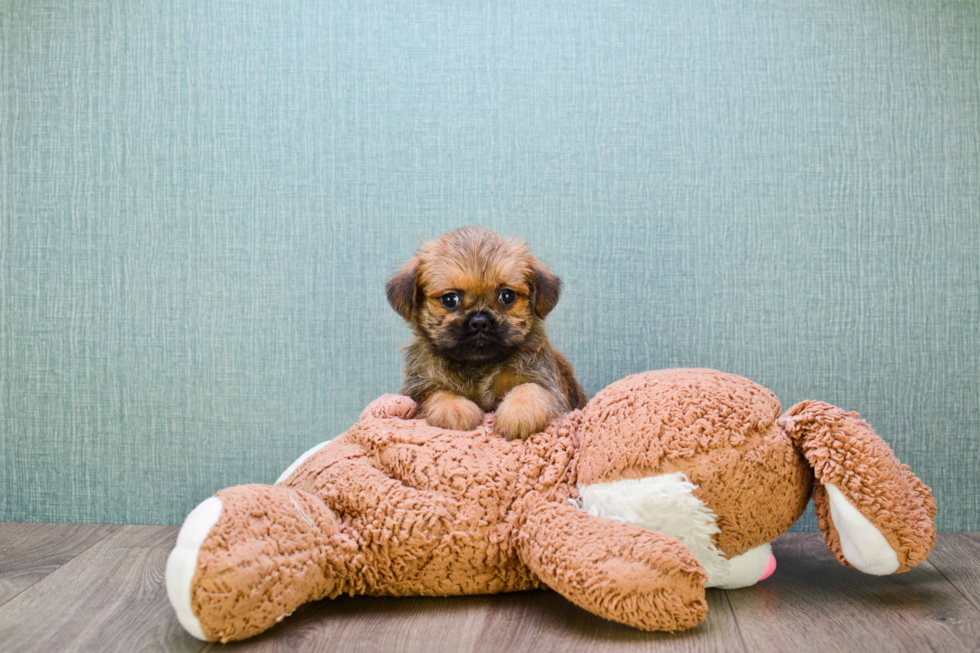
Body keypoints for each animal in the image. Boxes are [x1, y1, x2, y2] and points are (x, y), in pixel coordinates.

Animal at [384, 224, 584, 438]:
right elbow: (438, 393)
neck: (479, 365)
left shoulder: (547, 385)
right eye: (450, 300)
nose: (480, 321)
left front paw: (519, 413)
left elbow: (530, 389)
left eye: (507, 296)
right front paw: (455, 408)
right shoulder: (418, 390)